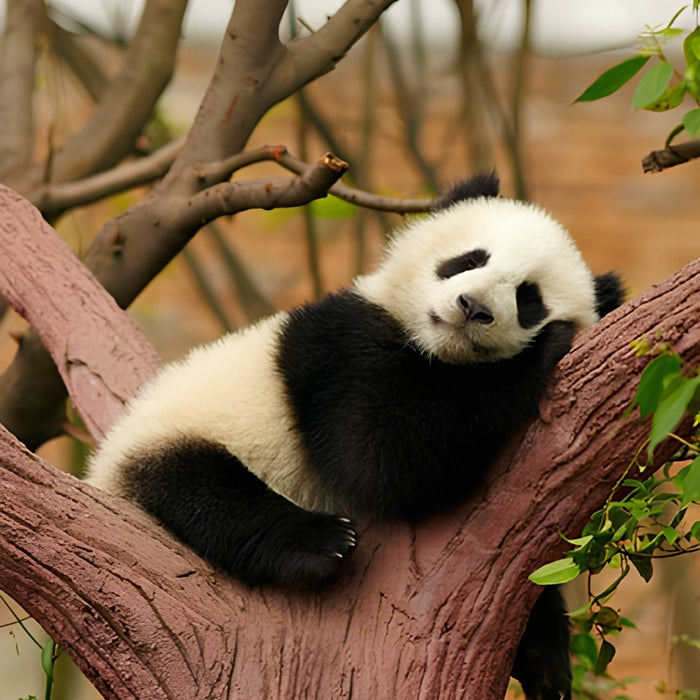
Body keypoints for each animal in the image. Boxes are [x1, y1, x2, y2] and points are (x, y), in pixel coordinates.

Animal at [86, 173, 623, 700]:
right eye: (469, 260)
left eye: (529, 298)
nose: (472, 307)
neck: (436, 351)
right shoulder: (339, 348)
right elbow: (380, 458)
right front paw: (544, 350)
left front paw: (546, 659)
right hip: (173, 434)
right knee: (204, 490)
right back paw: (319, 542)